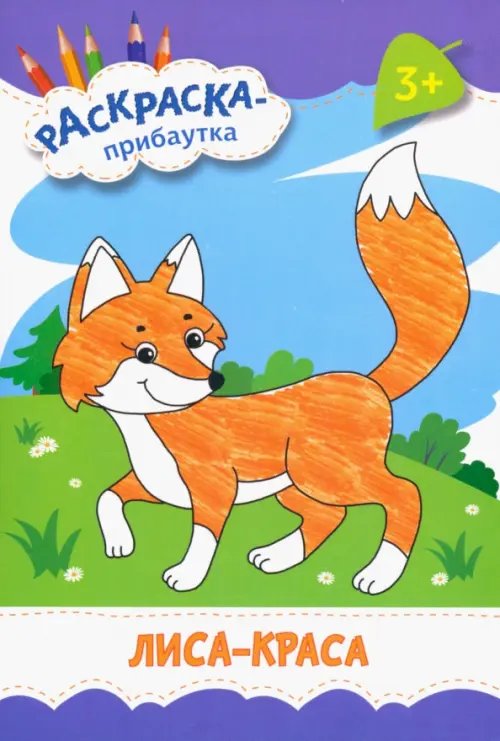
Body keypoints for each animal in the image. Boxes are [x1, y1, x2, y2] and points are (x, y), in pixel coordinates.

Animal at [54, 142, 469, 595]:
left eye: (194, 340)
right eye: (146, 353)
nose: (214, 379)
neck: (150, 428)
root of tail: (364, 380)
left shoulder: (215, 488)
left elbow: (203, 537)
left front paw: (187, 575)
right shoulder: (156, 485)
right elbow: (106, 497)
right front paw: (119, 542)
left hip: (324, 476)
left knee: (405, 494)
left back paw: (380, 572)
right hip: (296, 486)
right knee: (330, 516)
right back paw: (279, 556)